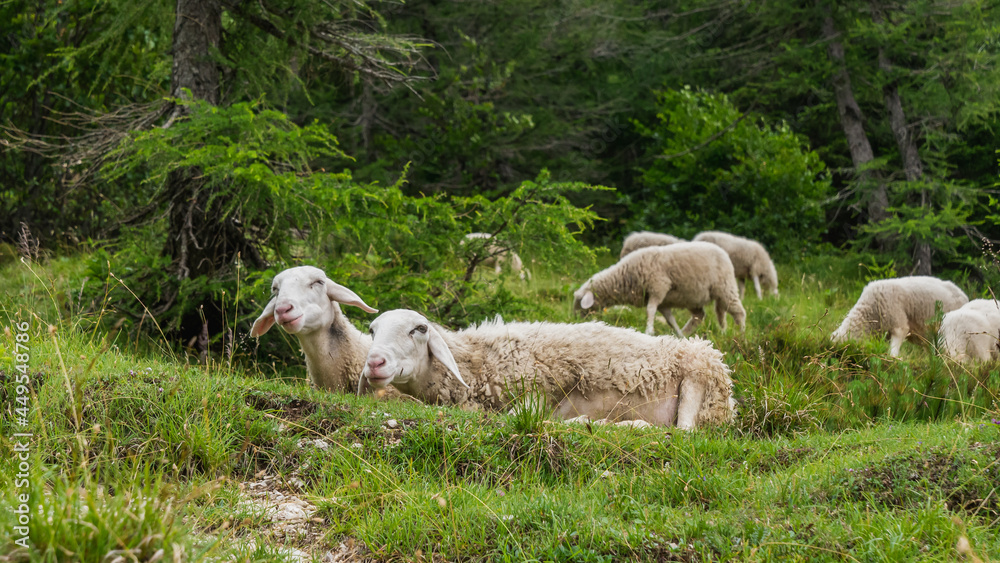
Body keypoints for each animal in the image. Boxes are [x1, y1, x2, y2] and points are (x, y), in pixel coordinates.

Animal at [360, 309, 736, 429]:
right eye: (372, 330)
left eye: (419, 329)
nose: (374, 362)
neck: (477, 362)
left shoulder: (540, 389)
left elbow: (517, 418)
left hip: (697, 379)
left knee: (683, 432)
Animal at [573, 242, 746, 337]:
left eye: (579, 305)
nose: (576, 321)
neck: (627, 275)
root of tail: (723, 252)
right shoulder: (663, 302)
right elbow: (670, 319)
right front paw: (677, 334)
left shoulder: (659, 287)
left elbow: (650, 310)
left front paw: (649, 330)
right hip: (693, 297)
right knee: (700, 316)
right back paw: (686, 333)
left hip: (725, 288)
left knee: (738, 312)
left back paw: (741, 334)